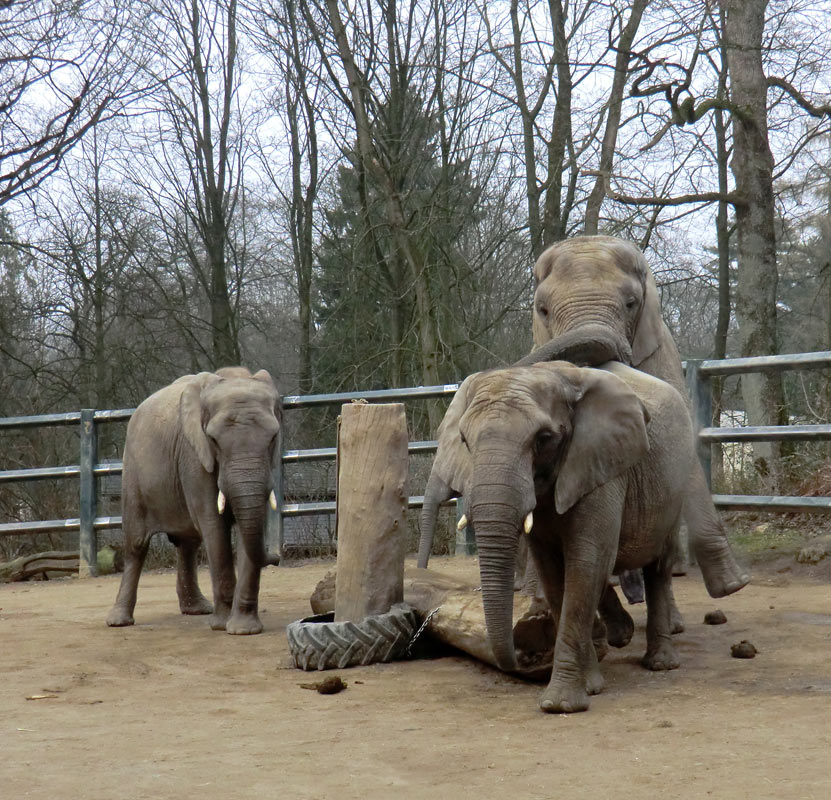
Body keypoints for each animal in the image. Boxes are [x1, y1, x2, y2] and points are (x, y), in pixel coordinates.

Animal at [106, 366, 282, 636]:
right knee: (136, 544)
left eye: (273, 437)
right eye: (214, 440)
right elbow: (213, 526)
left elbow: (248, 529)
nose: (276, 557)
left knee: (188, 543)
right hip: (132, 472)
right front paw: (221, 626)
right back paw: (118, 621)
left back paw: (197, 609)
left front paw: (244, 630)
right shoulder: (194, 456)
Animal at [456, 360, 696, 712]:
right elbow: (554, 576)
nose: (519, 657)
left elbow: (587, 562)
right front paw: (592, 685)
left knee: (659, 568)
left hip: (676, 488)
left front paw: (560, 704)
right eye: (463, 439)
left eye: (543, 438)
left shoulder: (600, 465)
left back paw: (661, 663)